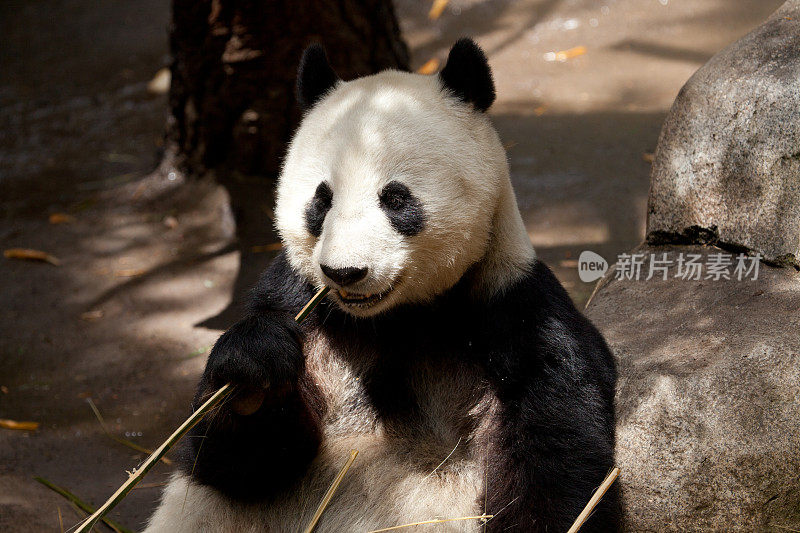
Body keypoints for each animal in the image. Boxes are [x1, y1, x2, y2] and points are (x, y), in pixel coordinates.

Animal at [144, 39, 620, 528]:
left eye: (395, 199)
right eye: (321, 200)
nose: (344, 272)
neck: (394, 318)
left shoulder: (514, 312)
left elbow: (557, 467)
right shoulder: (297, 302)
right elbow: (235, 464)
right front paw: (254, 370)